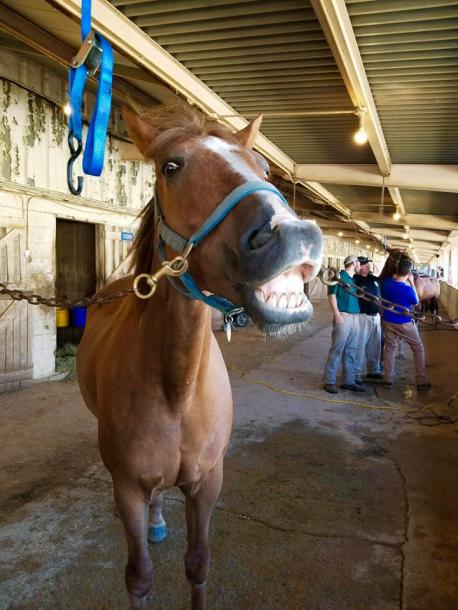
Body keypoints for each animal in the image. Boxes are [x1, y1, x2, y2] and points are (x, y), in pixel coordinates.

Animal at [77, 104, 324, 608]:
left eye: (264, 169)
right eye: (171, 167)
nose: (295, 235)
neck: (178, 388)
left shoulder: (208, 482)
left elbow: (198, 564)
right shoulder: (127, 488)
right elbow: (139, 577)